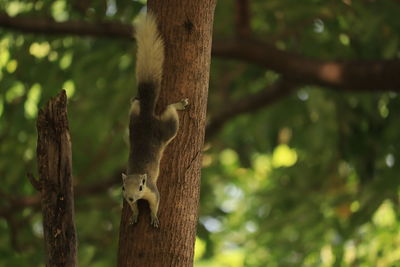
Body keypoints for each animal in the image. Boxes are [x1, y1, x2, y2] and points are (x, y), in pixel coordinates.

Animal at [122, 12, 189, 229]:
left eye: (141, 186)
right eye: (123, 187)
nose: (131, 197)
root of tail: (146, 115)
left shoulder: (153, 190)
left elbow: (156, 204)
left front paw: (153, 217)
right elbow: (134, 209)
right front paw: (134, 215)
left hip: (167, 128)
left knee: (170, 111)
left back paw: (180, 104)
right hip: (133, 117)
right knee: (137, 104)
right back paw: (135, 99)